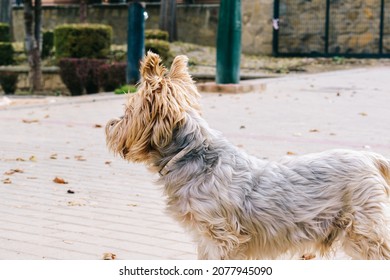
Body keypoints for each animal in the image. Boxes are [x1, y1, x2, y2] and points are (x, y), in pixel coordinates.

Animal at [106, 51, 390, 260]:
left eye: (128, 111)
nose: (109, 125)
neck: (190, 156)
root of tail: (370, 158)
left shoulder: (221, 237)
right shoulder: (207, 240)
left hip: (365, 229)